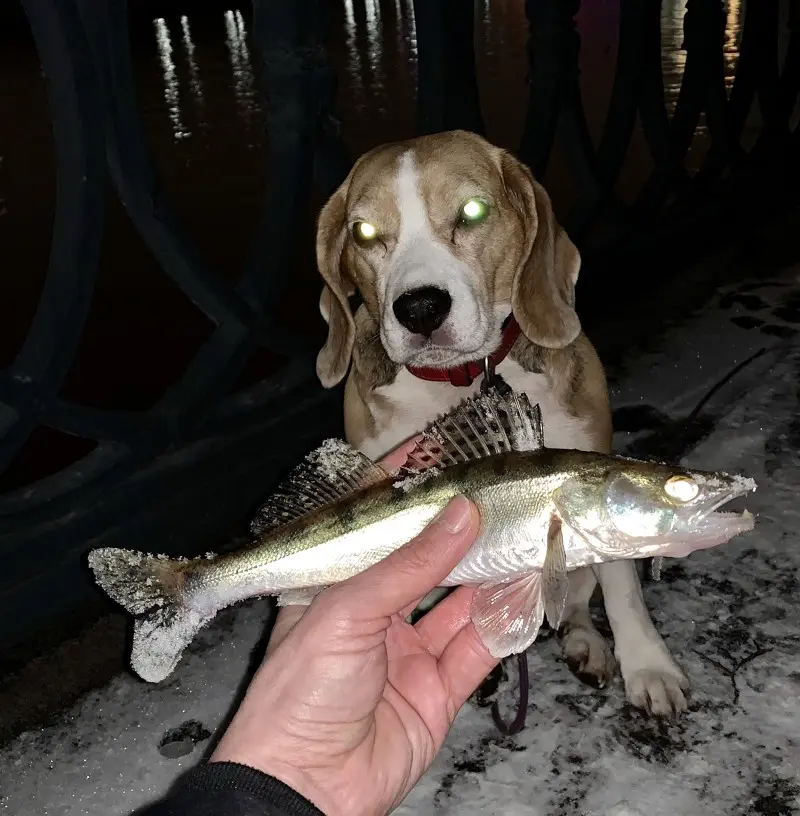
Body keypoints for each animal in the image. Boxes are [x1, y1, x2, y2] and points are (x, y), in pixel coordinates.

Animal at [312, 129, 688, 712]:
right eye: (365, 232)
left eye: (472, 211)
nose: (420, 309)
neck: (463, 378)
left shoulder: (591, 472)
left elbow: (622, 586)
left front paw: (650, 667)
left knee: (573, 600)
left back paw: (584, 643)